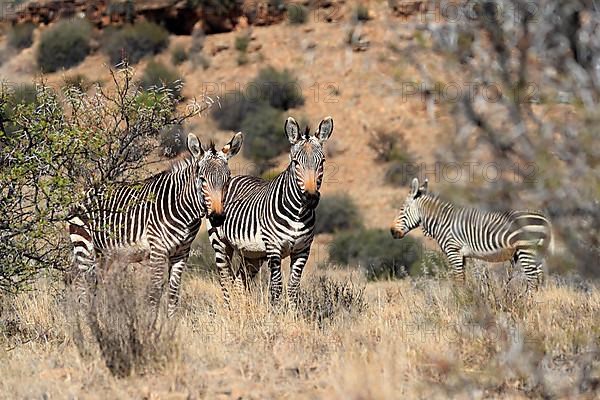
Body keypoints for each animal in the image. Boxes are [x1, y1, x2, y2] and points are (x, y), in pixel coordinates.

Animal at [67, 131, 241, 316]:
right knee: (83, 284)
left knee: (95, 284)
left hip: (104, 254)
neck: (183, 210)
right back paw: (87, 318)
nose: (217, 218)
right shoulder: (158, 250)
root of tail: (86, 191)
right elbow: (155, 292)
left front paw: (171, 321)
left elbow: (173, 293)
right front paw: (151, 322)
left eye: (227, 179)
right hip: (84, 247)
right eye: (202, 179)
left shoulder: (181, 253)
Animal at [209, 117, 336, 304]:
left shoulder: (302, 251)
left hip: (252, 254)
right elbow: (276, 288)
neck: (297, 214)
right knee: (225, 280)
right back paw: (229, 309)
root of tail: (232, 178)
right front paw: (276, 312)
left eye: (322, 162)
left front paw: (292, 312)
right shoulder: (273, 248)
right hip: (221, 244)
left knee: (239, 282)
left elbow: (293, 288)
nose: (311, 198)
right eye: (295, 162)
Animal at [390, 178, 552, 290]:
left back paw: (527, 304)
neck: (443, 222)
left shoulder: (453, 251)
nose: (392, 232)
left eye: (402, 210)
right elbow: (464, 278)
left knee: (532, 280)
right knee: (539, 280)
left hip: (526, 250)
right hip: (537, 253)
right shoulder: (463, 256)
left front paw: (460, 303)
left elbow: (459, 280)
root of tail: (544, 219)